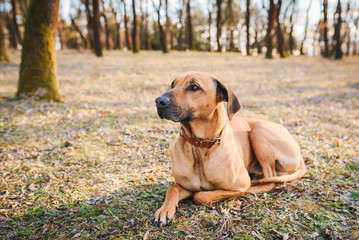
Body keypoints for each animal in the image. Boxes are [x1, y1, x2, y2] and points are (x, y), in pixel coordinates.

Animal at [153, 72, 306, 226]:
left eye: (194, 87)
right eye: (173, 84)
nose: (159, 101)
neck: (199, 145)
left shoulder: (237, 185)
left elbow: (201, 196)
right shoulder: (184, 184)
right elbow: (172, 188)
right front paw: (164, 210)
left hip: (258, 132)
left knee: (270, 180)